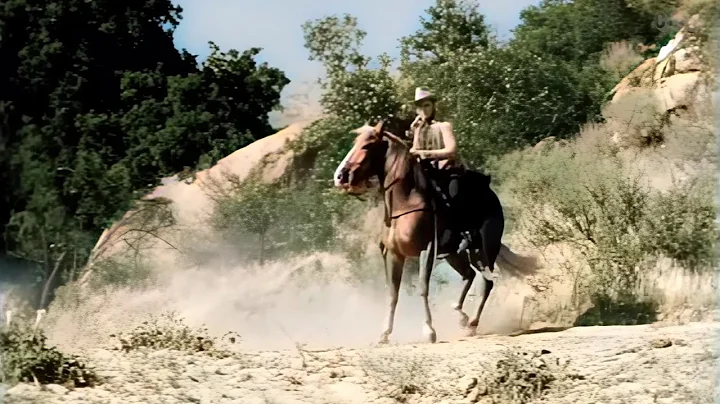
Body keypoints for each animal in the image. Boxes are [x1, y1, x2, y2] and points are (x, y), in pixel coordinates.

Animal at [334, 120, 536, 344]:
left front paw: (429, 330)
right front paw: (384, 333)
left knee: (487, 282)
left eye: (367, 145)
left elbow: (423, 288)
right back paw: (460, 315)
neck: (405, 203)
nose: (340, 176)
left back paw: (471, 323)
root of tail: (491, 195)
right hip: (454, 255)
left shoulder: (427, 249)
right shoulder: (395, 254)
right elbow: (393, 293)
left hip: (483, 250)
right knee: (470, 276)